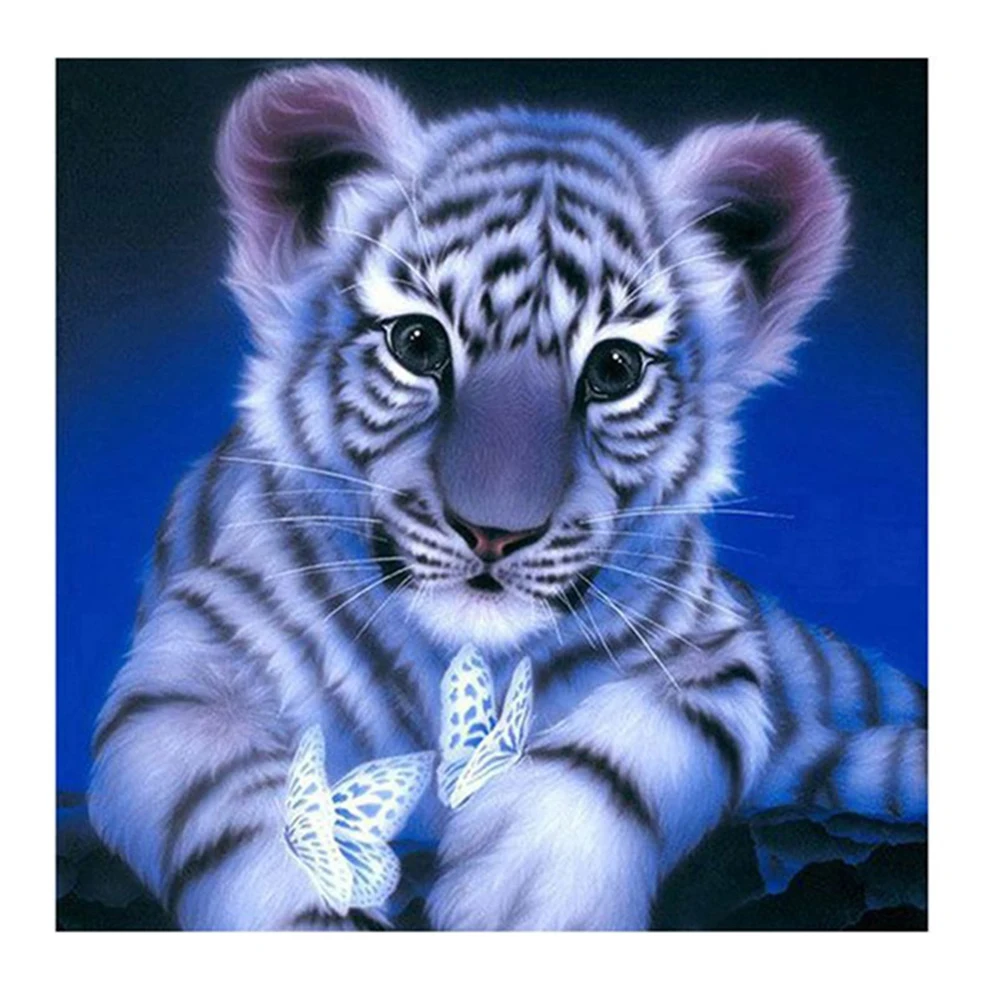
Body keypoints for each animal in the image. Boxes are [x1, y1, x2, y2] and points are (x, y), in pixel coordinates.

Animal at [88, 63, 927, 931]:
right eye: (416, 342)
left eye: (615, 368)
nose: (493, 532)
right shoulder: (187, 669)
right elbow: (246, 810)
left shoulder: (713, 652)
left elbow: (622, 751)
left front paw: (529, 892)